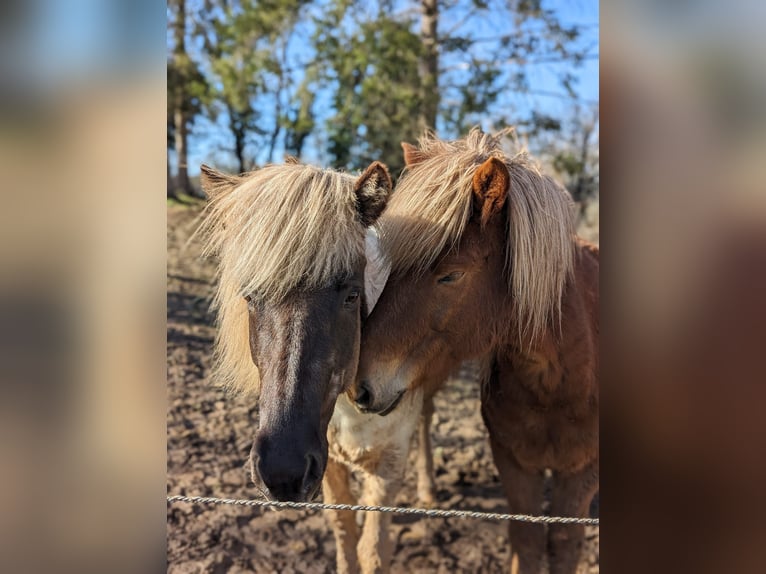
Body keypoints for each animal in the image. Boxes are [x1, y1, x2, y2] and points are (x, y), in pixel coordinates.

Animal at [354, 130, 600, 574]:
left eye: (451, 275)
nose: (358, 386)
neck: (557, 382)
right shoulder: (514, 463)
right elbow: (527, 541)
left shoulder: (582, 473)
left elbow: (564, 544)